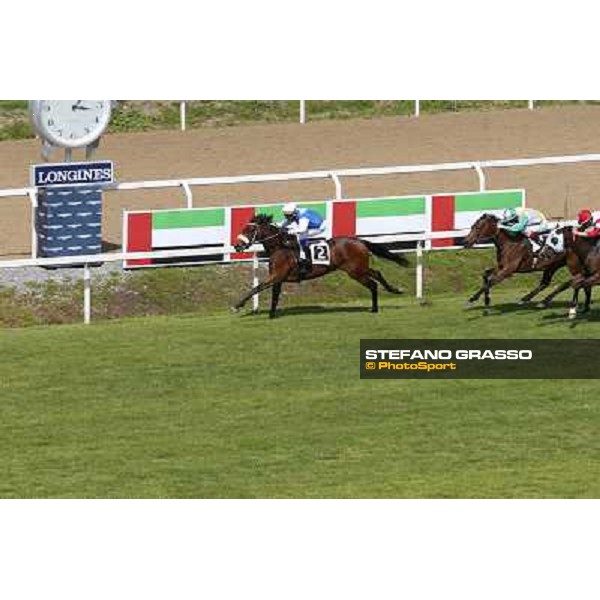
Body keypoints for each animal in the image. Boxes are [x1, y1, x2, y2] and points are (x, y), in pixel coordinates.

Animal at [232, 214, 410, 318]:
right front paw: (271, 314)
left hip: (355, 271)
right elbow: (274, 296)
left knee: (373, 284)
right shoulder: (278, 278)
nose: (237, 246)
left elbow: (257, 288)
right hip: (359, 268)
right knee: (377, 274)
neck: (280, 247)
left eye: (248, 230)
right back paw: (393, 291)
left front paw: (237, 305)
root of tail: (359, 241)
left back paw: (374, 308)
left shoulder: (277, 275)